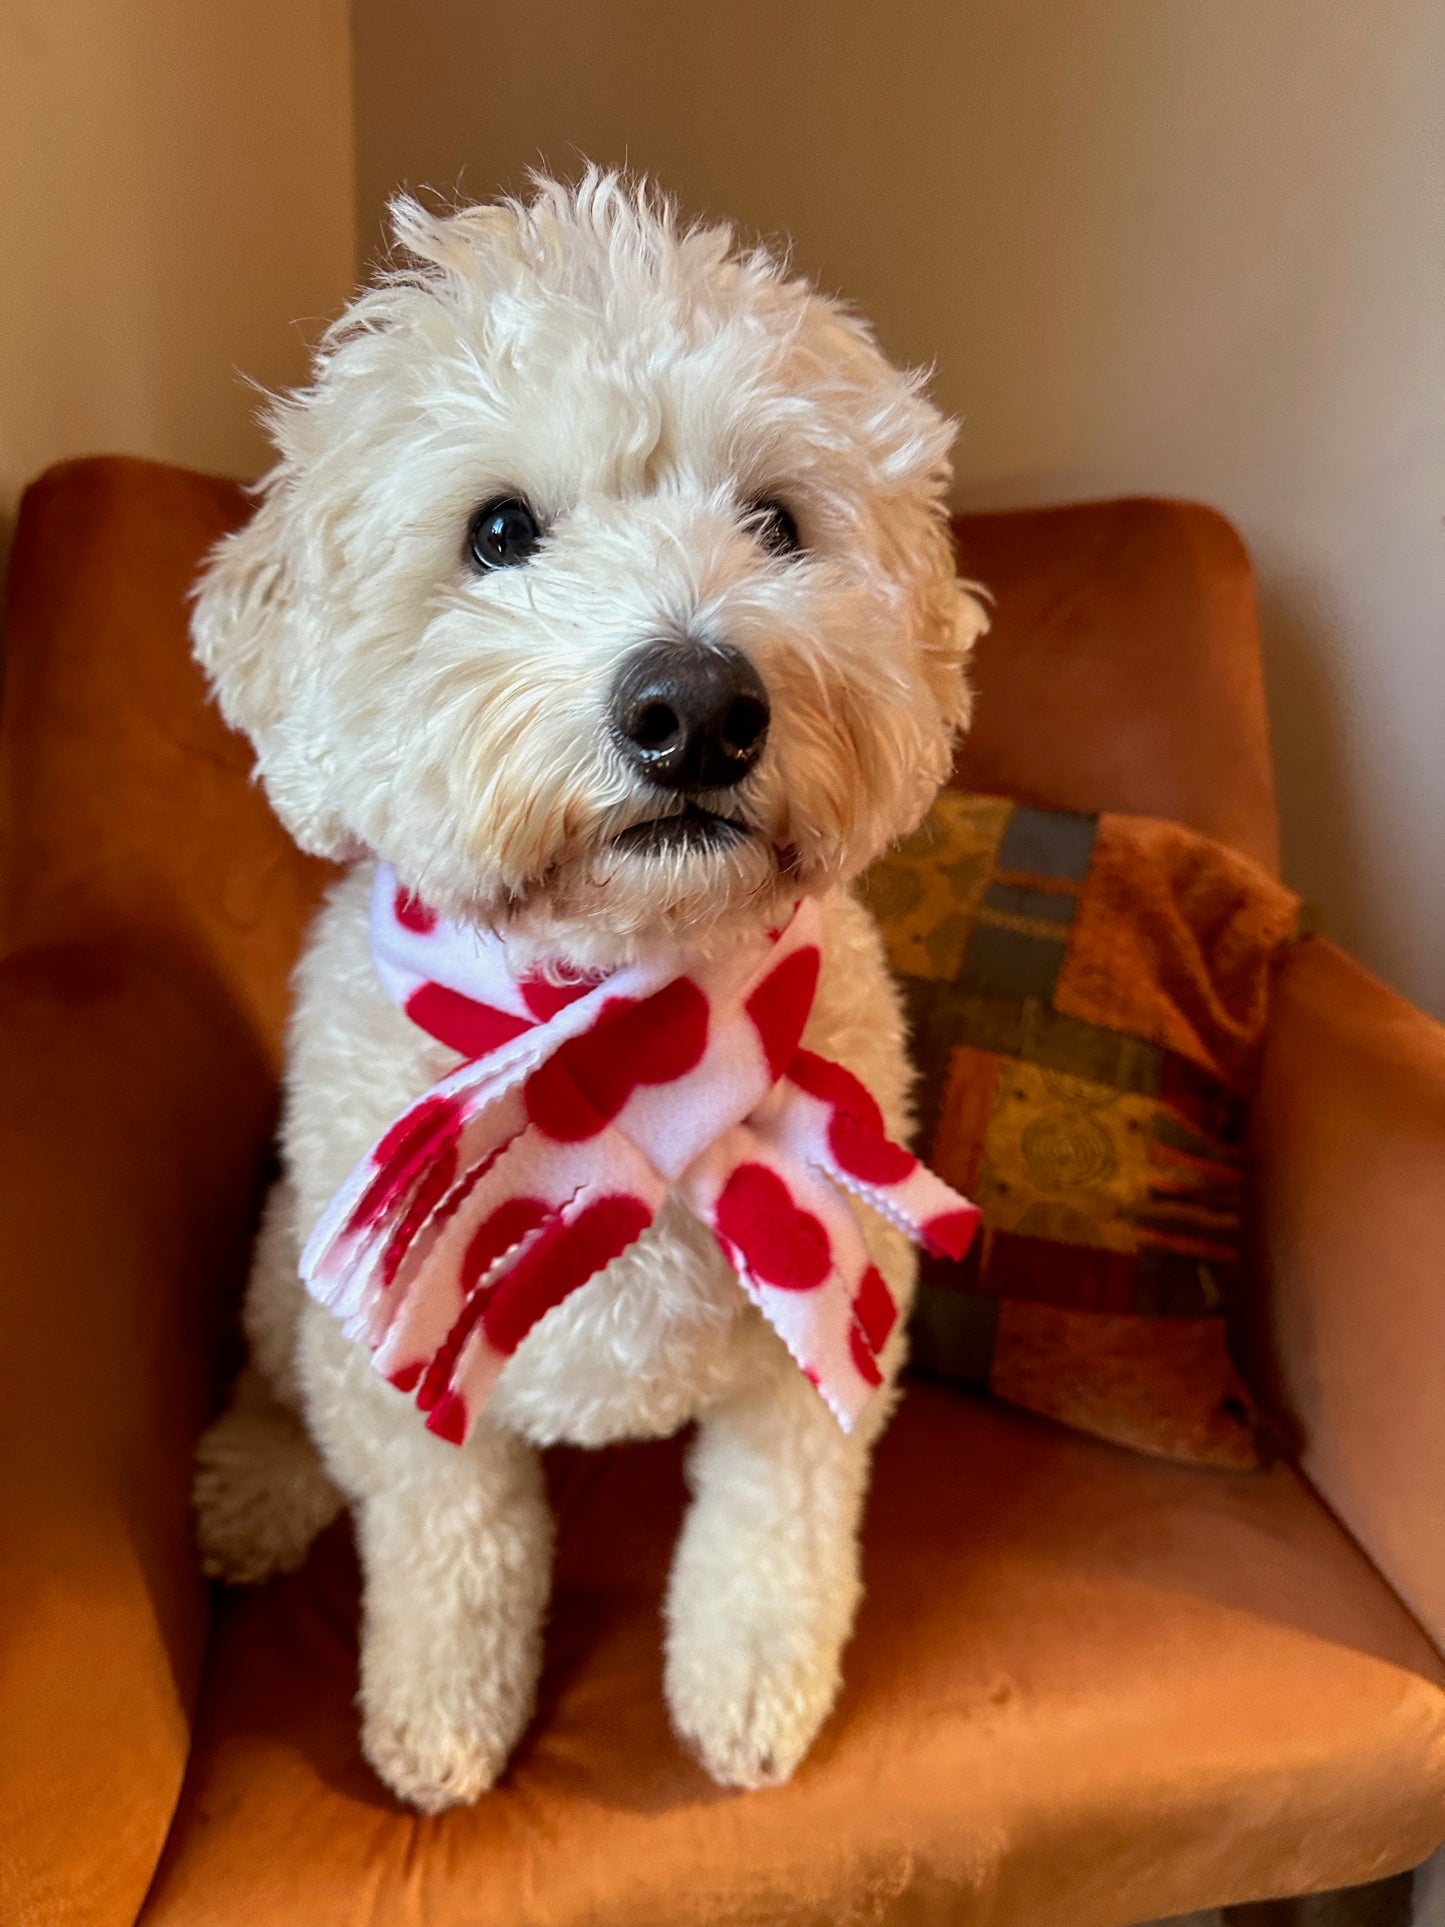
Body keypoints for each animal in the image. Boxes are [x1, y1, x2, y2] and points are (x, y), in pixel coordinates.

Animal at [189, 165, 986, 1803]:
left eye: (775, 519)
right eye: (498, 529)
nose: (697, 705)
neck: (629, 1019)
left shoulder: (813, 1347)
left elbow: (772, 1533)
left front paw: (748, 1691)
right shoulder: (405, 1374)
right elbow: (452, 1551)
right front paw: (441, 1719)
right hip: (289, 1260)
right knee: (273, 1378)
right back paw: (252, 1482)